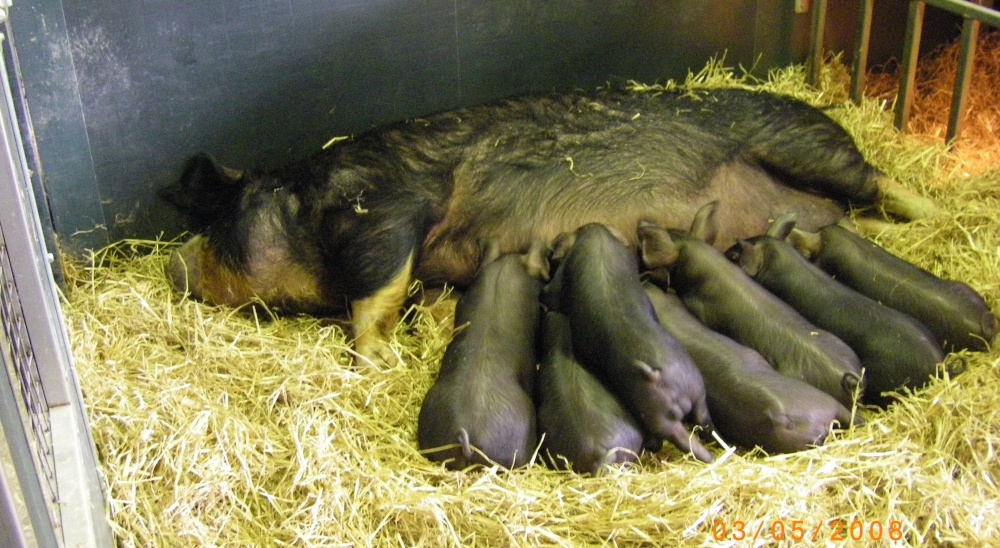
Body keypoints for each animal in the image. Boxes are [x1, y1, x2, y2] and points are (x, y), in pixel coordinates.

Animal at [162, 87, 936, 364]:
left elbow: (374, 292)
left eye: (223, 218)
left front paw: (378, 357)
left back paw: (940, 209)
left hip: (805, 143)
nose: (172, 264)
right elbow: (418, 294)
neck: (308, 206)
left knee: (877, 179)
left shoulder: (386, 208)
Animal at [542, 223, 714, 463]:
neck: (598, 236)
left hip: (654, 410)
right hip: (696, 390)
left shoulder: (562, 277)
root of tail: (658, 376)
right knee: (702, 419)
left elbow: (552, 293)